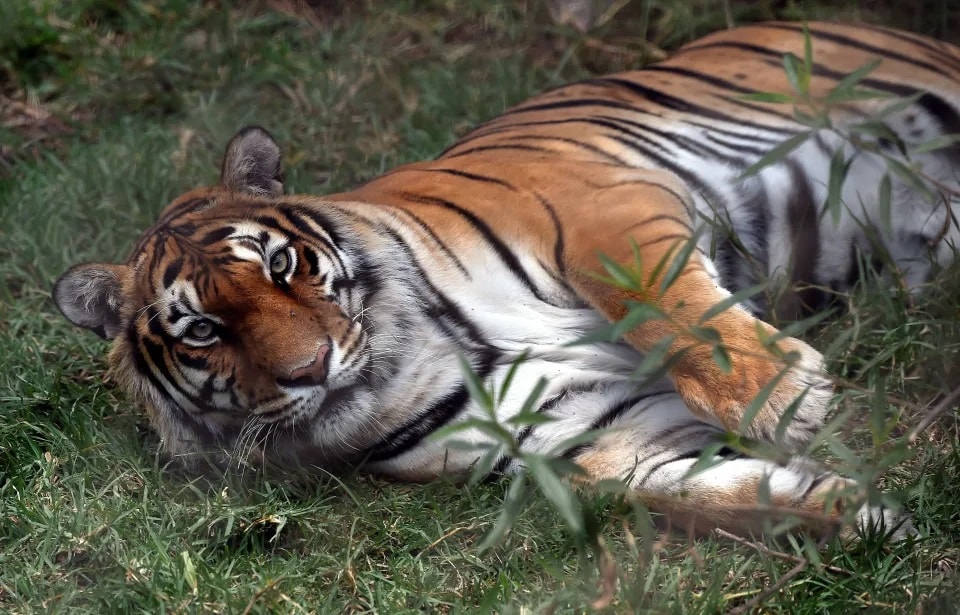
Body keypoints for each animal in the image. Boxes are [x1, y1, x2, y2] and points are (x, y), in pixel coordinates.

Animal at [54, 21, 960, 536]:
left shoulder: (594, 208)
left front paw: (777, 394)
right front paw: (864, 516)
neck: (416, 356)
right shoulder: (601, 435)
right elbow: (714, 494)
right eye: (203, 330)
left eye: (279, 265)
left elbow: (662, 304)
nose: (311, 369)